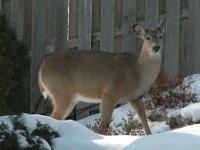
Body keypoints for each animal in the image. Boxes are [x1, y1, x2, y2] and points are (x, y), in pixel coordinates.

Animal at [38, 18, 166, 135]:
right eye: (147, 37)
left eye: (160, 36)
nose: (156, 47)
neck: (137, 72)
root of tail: (41, 69)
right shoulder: (109, 94)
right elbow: (105, 124)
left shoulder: (134, 97)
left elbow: (143, 118)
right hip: (61, 91)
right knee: (53, 117)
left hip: (70, 98)